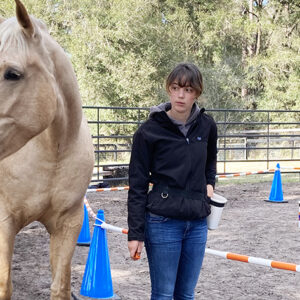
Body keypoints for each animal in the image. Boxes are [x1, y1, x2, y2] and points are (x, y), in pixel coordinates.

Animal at [0, 1, 94, 298]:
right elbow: (5, 284)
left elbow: (60, 285)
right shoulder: (4, 221)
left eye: (13, 74)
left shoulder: (68, 223)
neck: (54, 154)